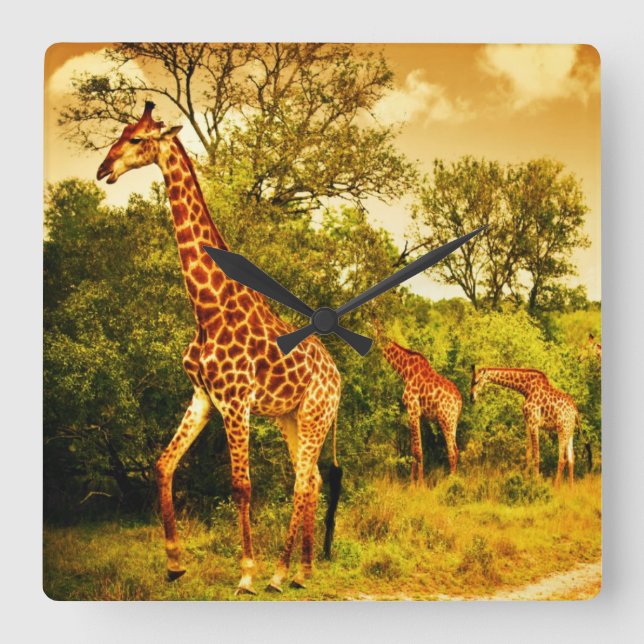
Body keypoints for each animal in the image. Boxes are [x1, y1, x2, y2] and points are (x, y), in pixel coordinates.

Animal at [96, 102, 342, 594]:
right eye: (121, 131)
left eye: (137, 139)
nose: (102, 169)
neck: (207, 310)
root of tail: (339, 376)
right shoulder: (203, 397)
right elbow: (162, 465)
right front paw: (174, 563)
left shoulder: (235, 400)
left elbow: (241, 486)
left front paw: (246, 573)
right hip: (291, 417)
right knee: (311, 479)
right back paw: (302, 571)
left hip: (315, 414)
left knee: (302, 482)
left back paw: (278, 573)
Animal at [381, 340, 461, 483]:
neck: (404, 369)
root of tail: (459, 401)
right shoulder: (415, 414)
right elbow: (413, 449)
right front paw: (412, 482)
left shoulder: (413, 410)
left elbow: (418, 451)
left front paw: (420, 484)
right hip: (453, 422)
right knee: (456, 450)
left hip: (445, 420)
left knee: (452, 451)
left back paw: (451, 482)